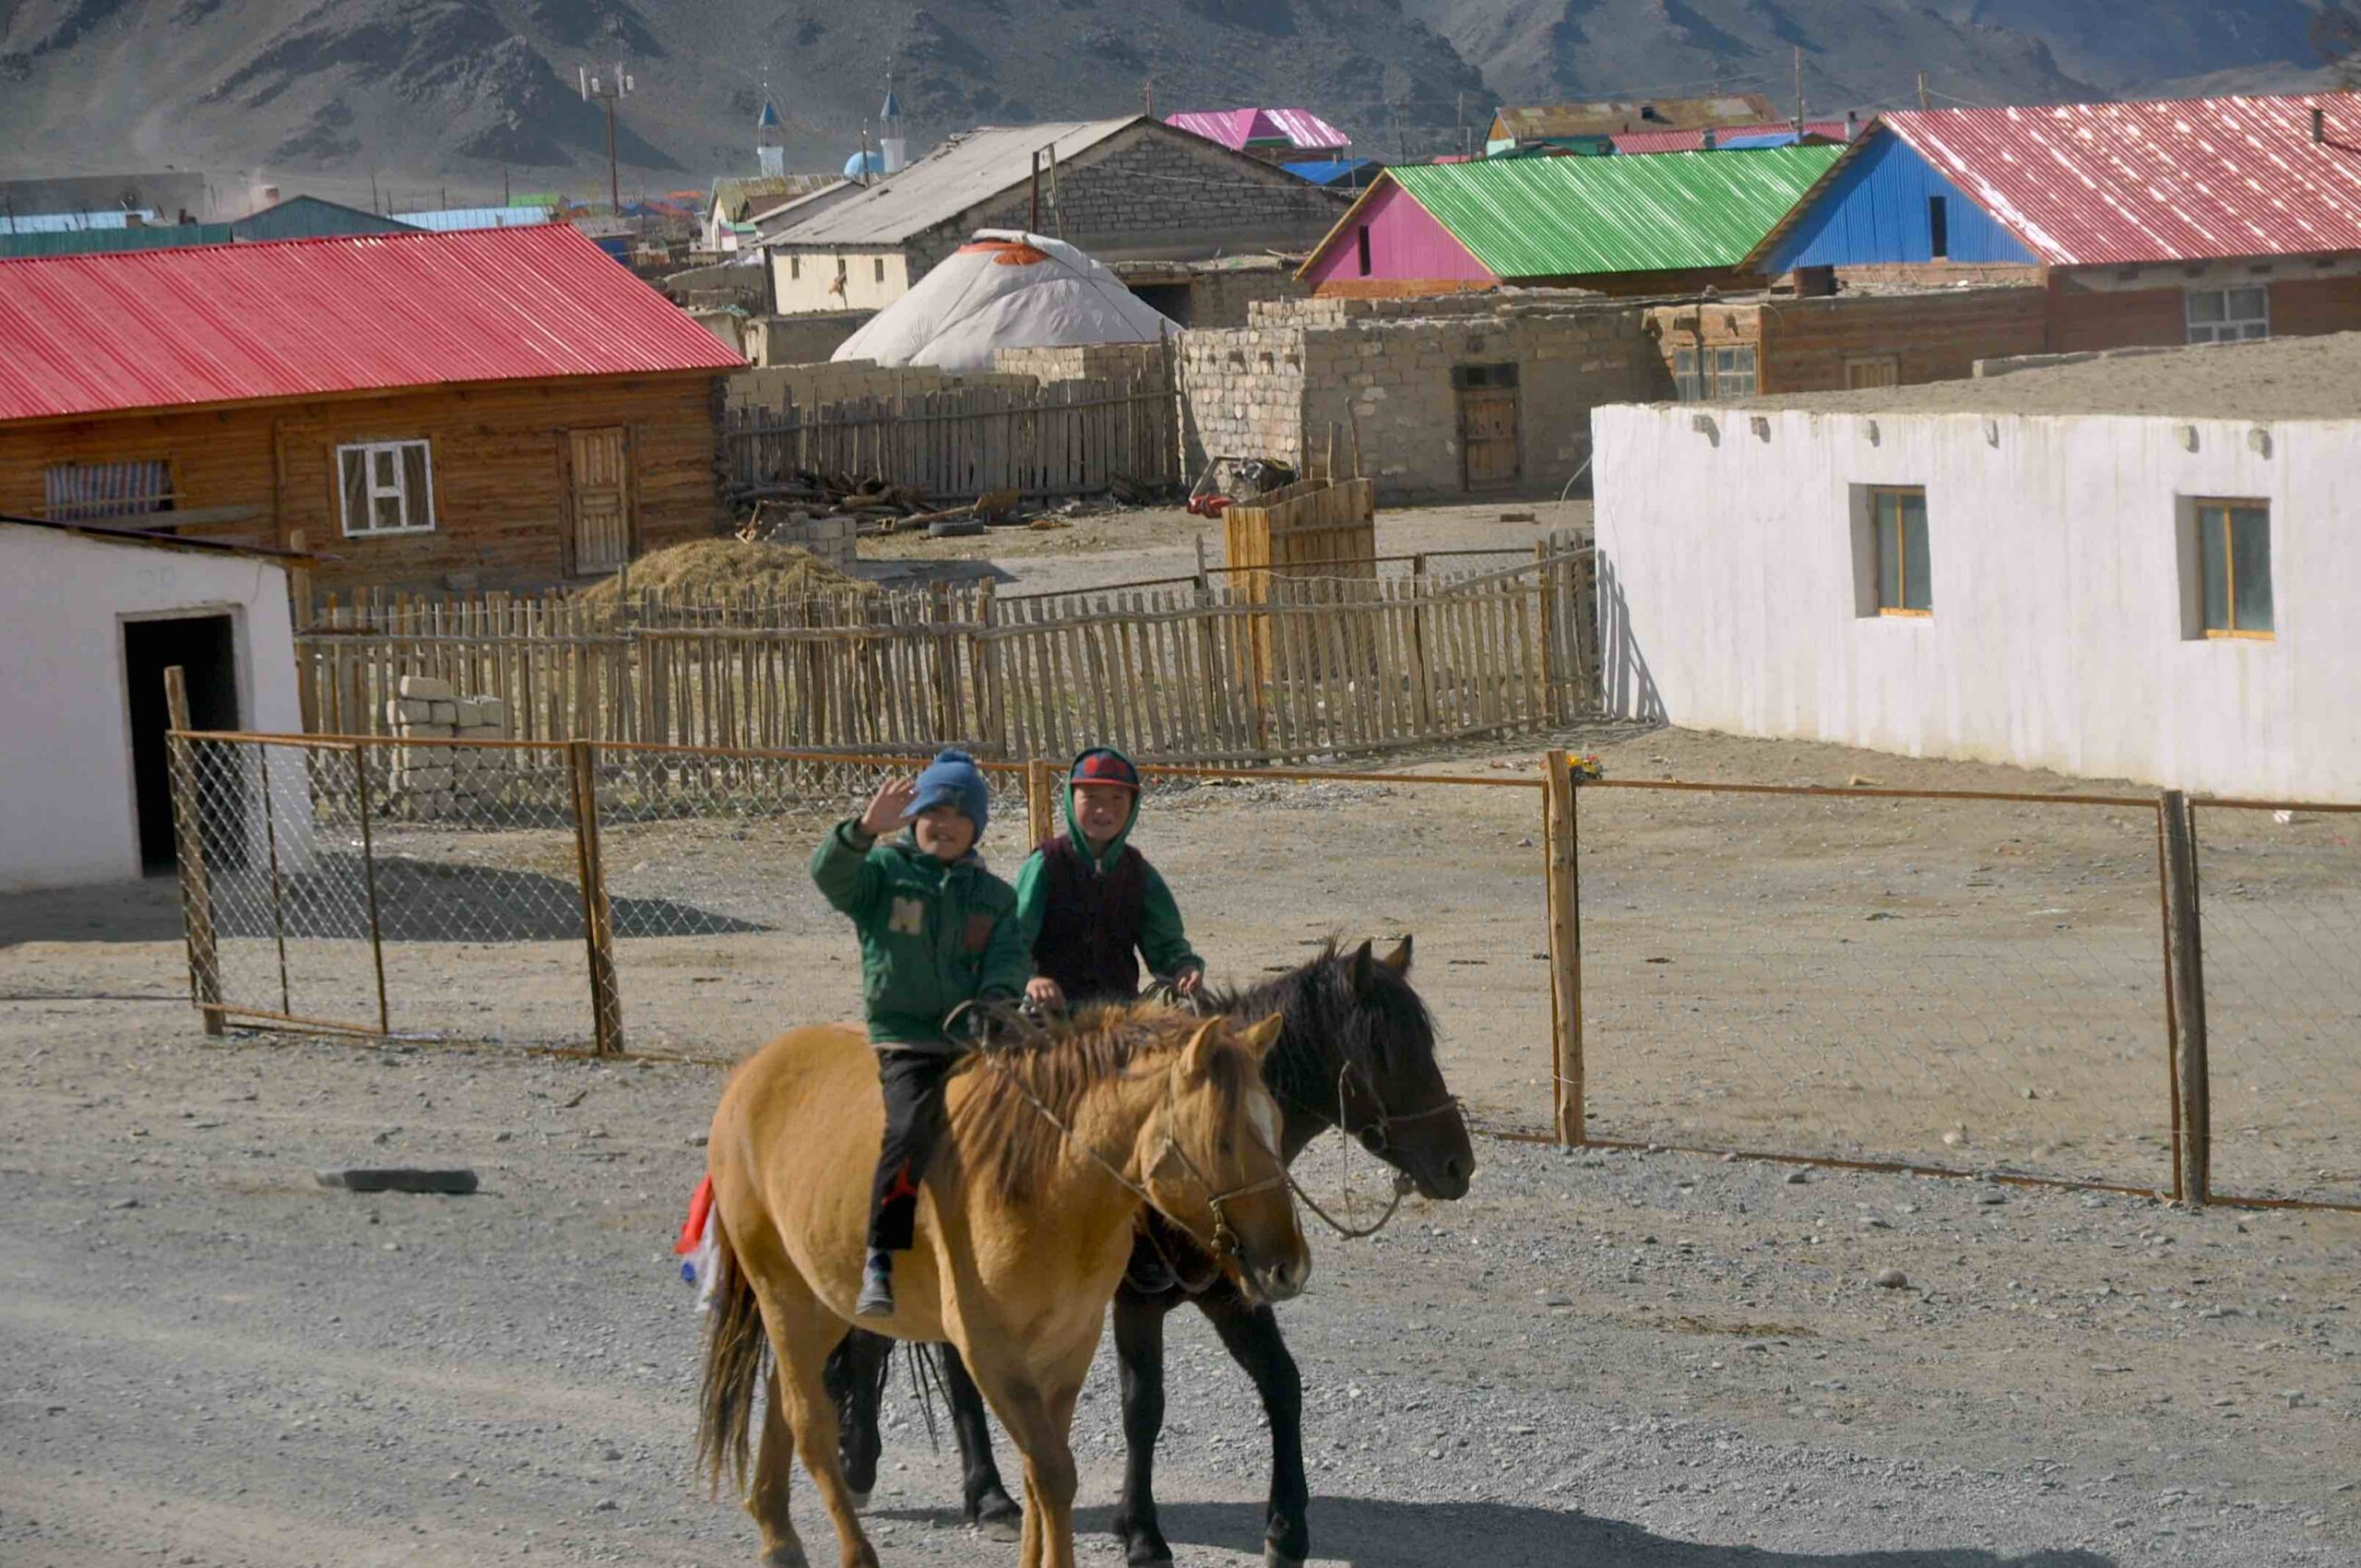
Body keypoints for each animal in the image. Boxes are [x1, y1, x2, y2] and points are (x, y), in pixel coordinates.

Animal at [694, 1005, 1312, 1568]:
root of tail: (752, 1073)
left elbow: (1041, 1472)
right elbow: (1054, 1472)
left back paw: (776, 1533)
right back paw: (849, 1551)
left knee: (783, 1396)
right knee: (810, 1421)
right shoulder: (990, 1352)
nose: (1290, 1268)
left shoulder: (1068, 1347)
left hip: (822, 1302)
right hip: (781, 1290)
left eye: (1277, 1128)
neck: (1046, 1185)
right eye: (1224, 1141)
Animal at [821, 934, 1464, 1558]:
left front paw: (1286, 1531)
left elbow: (1282, 1383)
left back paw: (973, 1492)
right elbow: (1142, 1407)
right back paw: (894, 1473)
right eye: (1382, 1048)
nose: (1460, 1166)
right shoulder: (1137, 1300)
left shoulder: (1232, 1294)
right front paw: (1141, 1533)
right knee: (880, 1343)